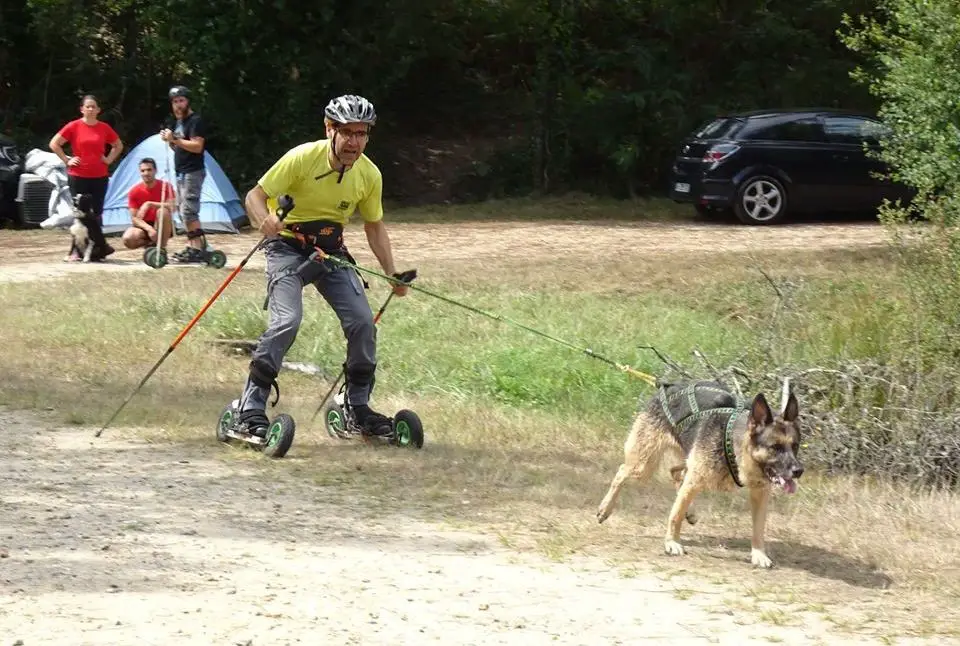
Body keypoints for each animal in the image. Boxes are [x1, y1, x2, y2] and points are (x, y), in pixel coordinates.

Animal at [596, 382, 800, 568]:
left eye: (795, 445)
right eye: (775, 447)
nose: (799, 470)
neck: (735, 445)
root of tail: (669, 386)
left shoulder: (760, 493)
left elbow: (758, 529)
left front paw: (758, 554)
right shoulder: (695, 479)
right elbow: (675, 515)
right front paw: (672, 542)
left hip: (685, 461)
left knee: (676, 474)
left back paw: (689, 511)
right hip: (644, 465)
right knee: (622, 472)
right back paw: (605, 509)